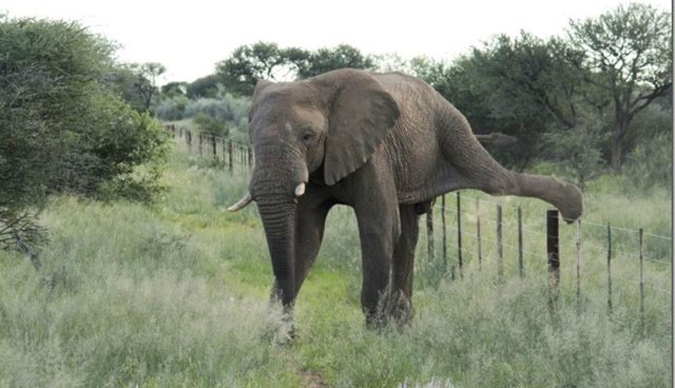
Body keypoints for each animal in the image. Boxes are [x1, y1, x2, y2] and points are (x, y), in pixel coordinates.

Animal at [230, 69, 584, 330]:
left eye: (307, 137)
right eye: (251, 138)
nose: (290, 331)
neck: (319, 88)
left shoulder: (374, 153)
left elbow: (377, 228)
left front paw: (373, 336)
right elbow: (306, 237)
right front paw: (275, 334)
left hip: (452, 127)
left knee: (497, 181)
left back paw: (573, 207)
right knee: (409, 233)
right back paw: (403, 323)